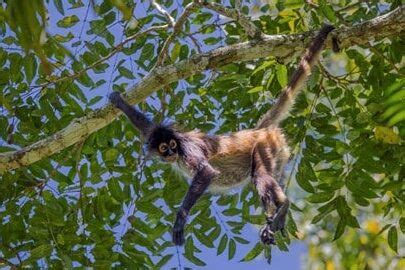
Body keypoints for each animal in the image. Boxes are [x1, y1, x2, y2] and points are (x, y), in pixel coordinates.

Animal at [107, 24, 334, 246]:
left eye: (172, 145)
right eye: (164, 148)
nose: (170, 153)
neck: (179, 148)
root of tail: (256, 131)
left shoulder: (187, 147)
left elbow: (206, 172)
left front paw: (180, 218)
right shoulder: (158, 132)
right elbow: (147, 126)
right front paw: (118, 101)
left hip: (265, 144)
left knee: (260, 175)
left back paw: (284, 205)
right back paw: (273, 221)